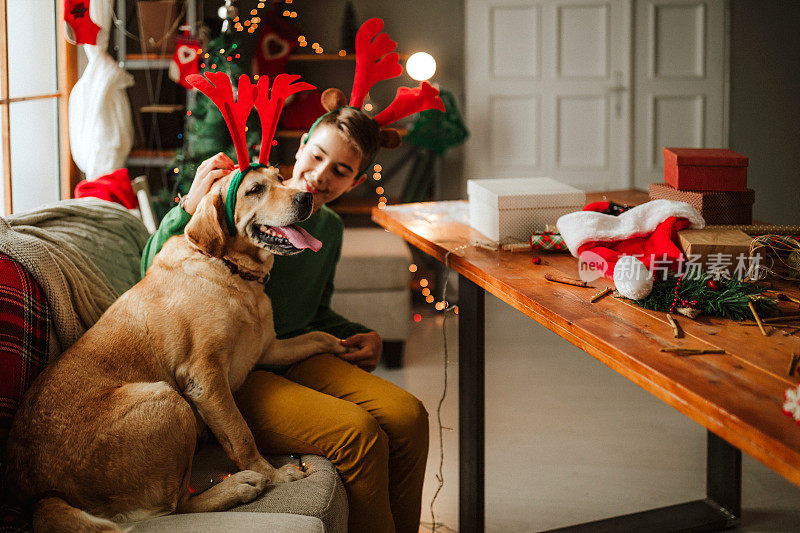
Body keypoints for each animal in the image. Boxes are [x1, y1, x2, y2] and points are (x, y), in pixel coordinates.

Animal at [5, 165, 346, 528]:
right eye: (255, 189)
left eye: (280, 178)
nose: (307, 197)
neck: (231, 271)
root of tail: (40, 496)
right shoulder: (204, 376)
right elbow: (241, 435)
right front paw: (275, 475)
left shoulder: (269, 348)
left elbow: (318, 338)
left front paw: (346, 346)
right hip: (168, 398)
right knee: (177, 504)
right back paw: (239, 486)